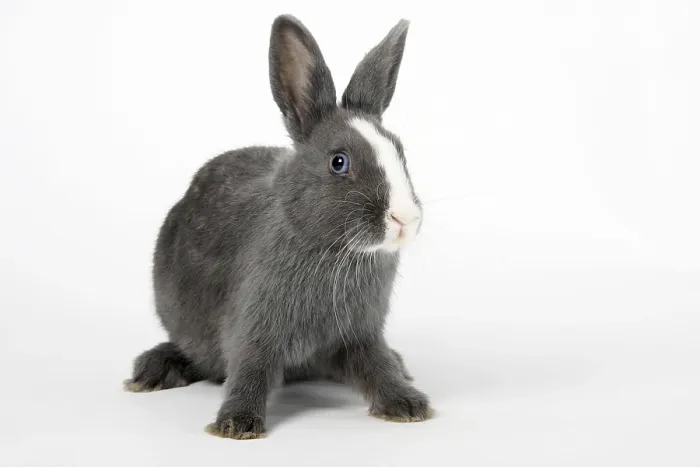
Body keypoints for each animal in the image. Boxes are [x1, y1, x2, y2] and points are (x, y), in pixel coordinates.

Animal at [124, 14, 432, 440]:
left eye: (400, 151)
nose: (406, 219)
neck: (329, 250)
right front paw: (236, 425)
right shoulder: (253, 328)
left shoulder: (360, 334)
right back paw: (151, 371)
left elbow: (377, 366)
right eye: (339, 162)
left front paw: (407, 405)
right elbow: (249, 370)